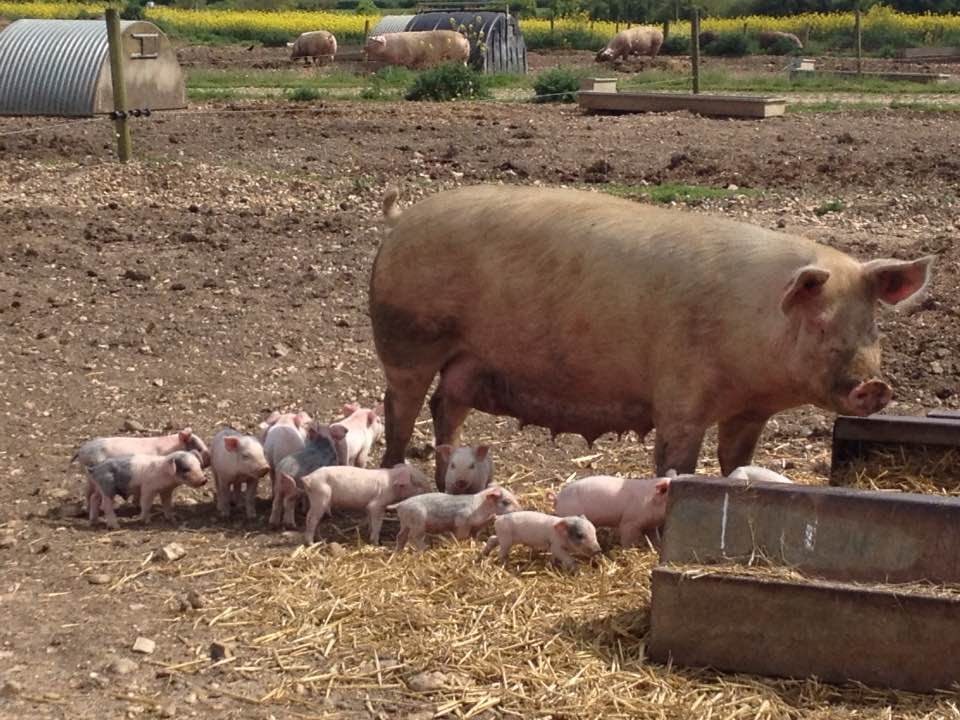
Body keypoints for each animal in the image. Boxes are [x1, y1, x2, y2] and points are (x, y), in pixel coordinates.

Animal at [296, 464, 432, 544]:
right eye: (418, 483)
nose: (431, 490)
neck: (392, 484)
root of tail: (308, 478)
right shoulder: (378, 504)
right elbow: (378, 522)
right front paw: (376, 542)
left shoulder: (369, 506)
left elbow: (371, 520)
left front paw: (369, 534)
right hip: (320, 497)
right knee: (311, 518)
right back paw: (311, 543)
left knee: (312, 518)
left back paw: (320, 540)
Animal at [372, 184, 932, 484]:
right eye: (819, 323)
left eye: (872, 325)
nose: (874, 386)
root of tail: (399, 221)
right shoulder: (681, 393)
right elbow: (675, 460)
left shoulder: (750, 412)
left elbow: (735, 461)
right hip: (407, 341)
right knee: (399, 410)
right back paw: (396, 477)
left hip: (466, 362)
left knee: (445, 407)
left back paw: (443, 481)